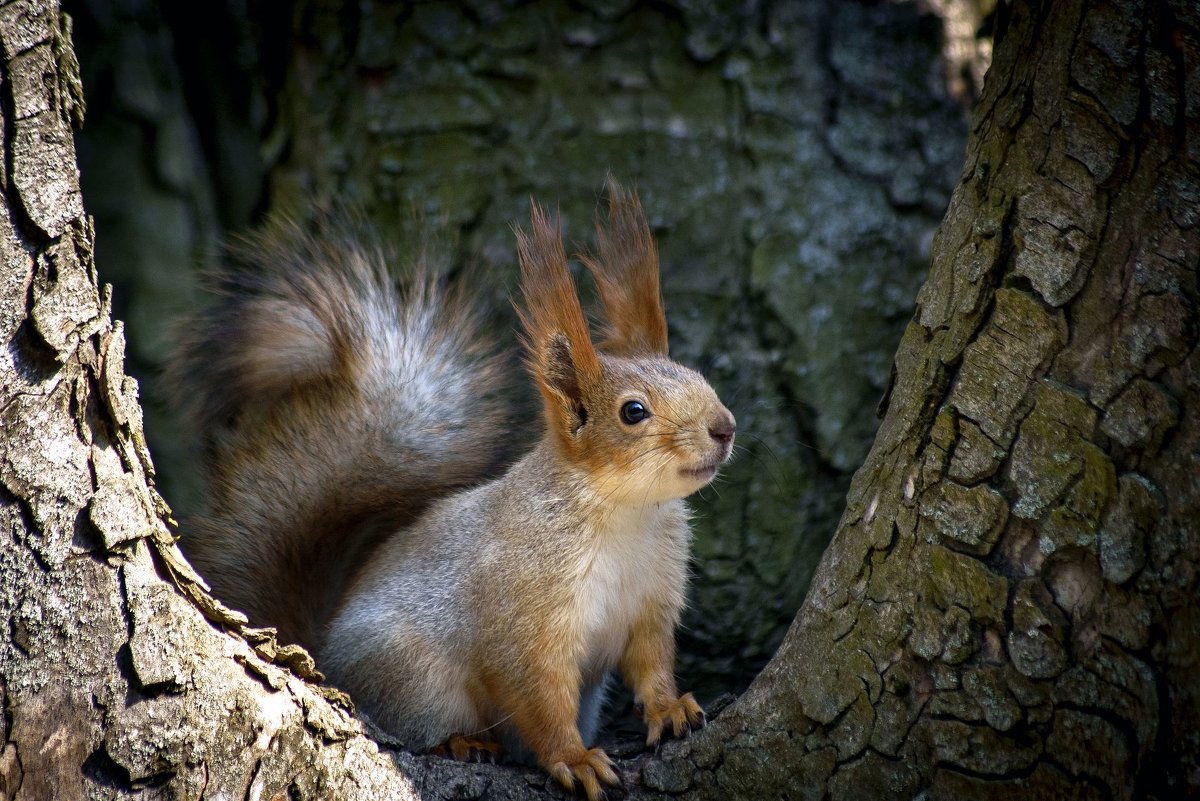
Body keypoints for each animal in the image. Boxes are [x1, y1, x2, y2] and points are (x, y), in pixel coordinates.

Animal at [168, 181, 729, 801]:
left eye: (699, 377)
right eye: (633, 412)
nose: (725, 428)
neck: (628, 513)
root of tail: (321, 655)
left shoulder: (653, 602)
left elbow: (651, 664)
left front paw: (670, 708)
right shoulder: (524, 619)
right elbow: (538, 698)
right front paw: (575, 758)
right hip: (412, 676)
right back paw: (461, 742)